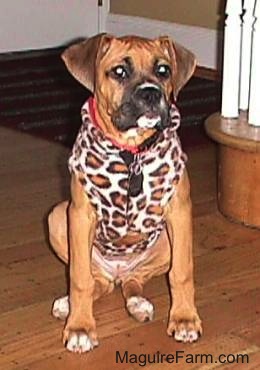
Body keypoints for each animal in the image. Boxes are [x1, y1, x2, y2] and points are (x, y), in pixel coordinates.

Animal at [48, 34, 203, 352]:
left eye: (163, 70)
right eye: (119, 72)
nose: (151, 94)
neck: (132, 152)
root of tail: (118, 273)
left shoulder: (180, 212)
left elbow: (182, 272)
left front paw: (184, 319)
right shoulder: (79, 215)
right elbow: (79, 278)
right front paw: (80, 327)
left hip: (165, 242)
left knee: (134, 280)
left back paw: (137, 303)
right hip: (58, 216)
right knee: (97, 282)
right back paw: (68, 304)